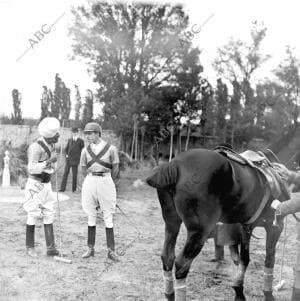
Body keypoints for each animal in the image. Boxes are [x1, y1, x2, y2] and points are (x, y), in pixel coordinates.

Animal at [146, 148, 288, 300]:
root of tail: (174, 165)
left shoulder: (246, 227)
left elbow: (244, 259)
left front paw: (239, 291)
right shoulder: (275, 226)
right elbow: (270, 258)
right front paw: (268, 293)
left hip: (171, 223)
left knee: (167, 257)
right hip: (199, 233)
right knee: (181, 264)